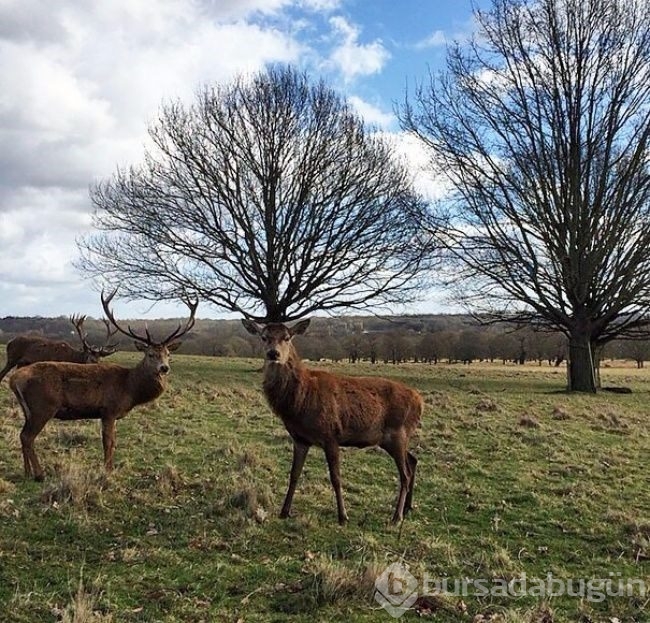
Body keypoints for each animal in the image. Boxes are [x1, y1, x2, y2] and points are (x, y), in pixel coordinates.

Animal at [7, 292, 196, 482]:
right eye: (150, 354)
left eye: (168, 354)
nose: (164, 368)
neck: (130, 388)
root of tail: (14, 379)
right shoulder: (109, 410)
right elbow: (108, 442)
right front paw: (108, 471)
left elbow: (114, 442)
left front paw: (110, 469)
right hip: (44, 406)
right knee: (28, 437)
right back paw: (39, 474)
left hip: (29, 410)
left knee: (22, 435)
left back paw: (27, 472)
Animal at [242, 320, 420, 524]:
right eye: (264, 337)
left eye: (287, 337)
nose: (273, 353)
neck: (300, 402)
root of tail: (420, 401)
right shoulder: (300, 439)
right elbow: (294, 474)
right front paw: (284, 511)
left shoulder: (331, 435)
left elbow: (335, 478)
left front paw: (343, 516)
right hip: (394, 439)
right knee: (413, 460)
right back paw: (407, 508)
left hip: (398, 432)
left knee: (405, 474)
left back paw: (397, 516)